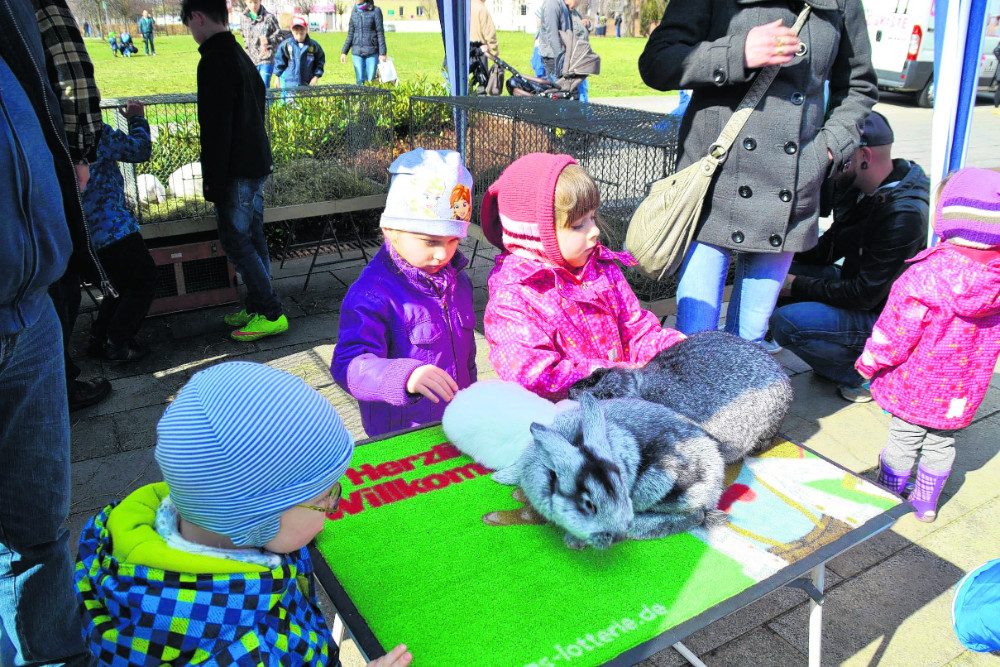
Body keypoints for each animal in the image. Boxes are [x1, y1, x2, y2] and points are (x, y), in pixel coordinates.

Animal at [494, 394, 724, 552]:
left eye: (621, 487)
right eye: (588, 504)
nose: (618, 536)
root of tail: (718, 479)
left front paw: (573, 542)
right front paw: (502, 478)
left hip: (660, 486)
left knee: (695, 516)